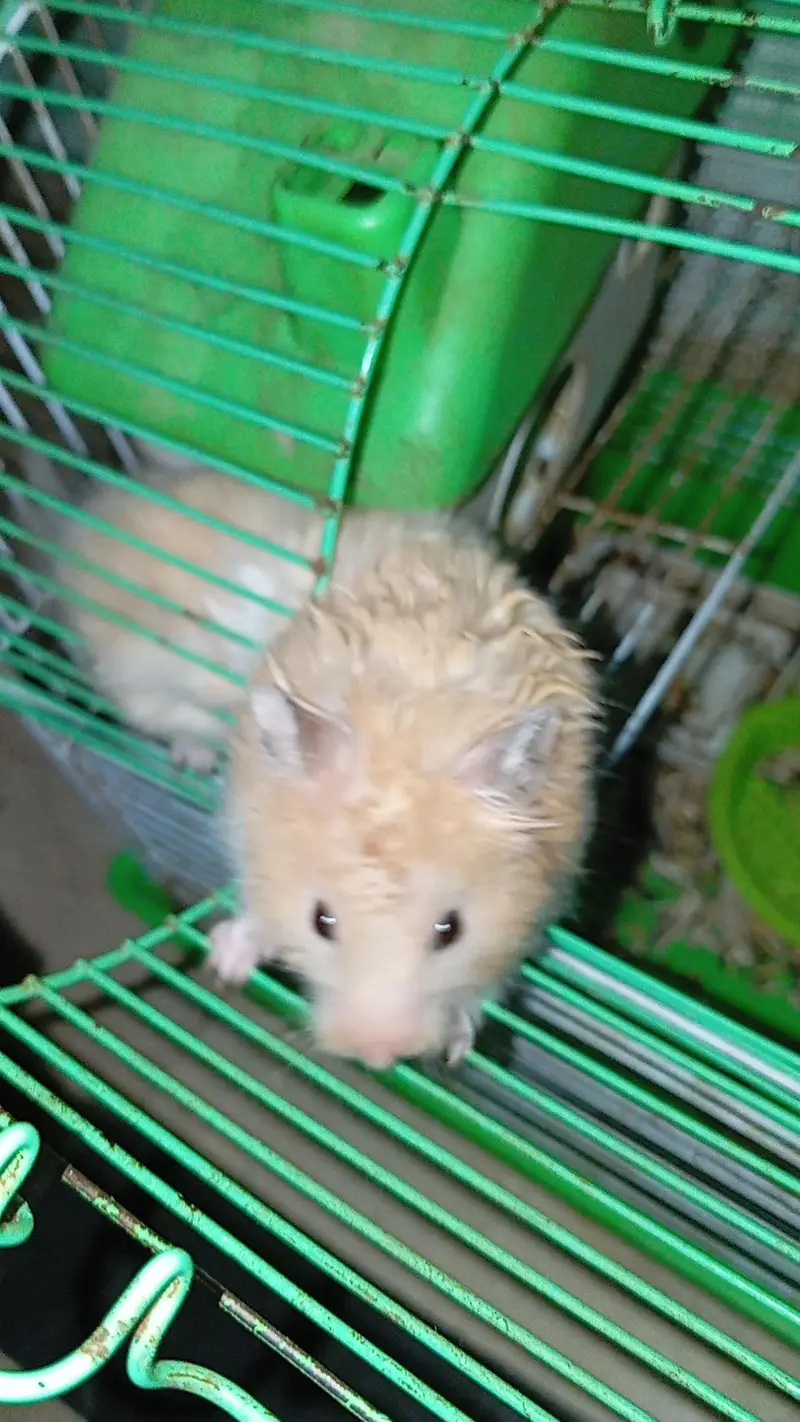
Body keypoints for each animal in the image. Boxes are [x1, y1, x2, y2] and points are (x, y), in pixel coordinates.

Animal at [209, 531, 597, 1069]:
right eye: (320, 921)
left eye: (451, 930)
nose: (379, 1058)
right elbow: (253, 907)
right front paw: (225, 961)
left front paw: (457, 1048)